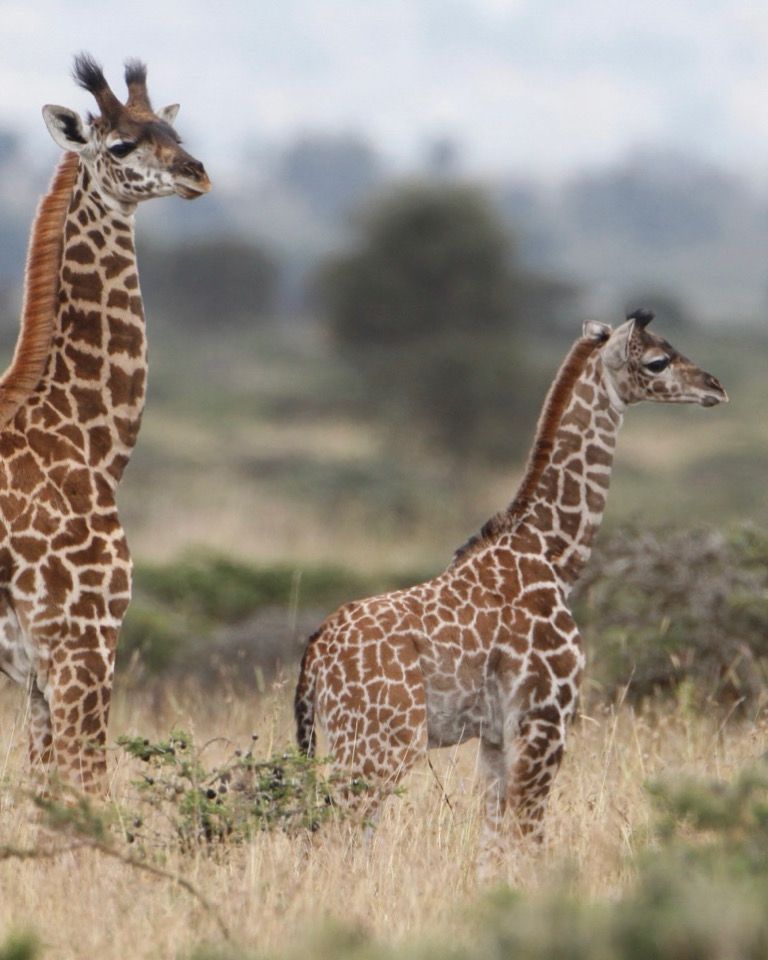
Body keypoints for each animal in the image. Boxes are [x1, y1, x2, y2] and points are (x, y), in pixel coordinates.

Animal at [0, 54, 210, 790]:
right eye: (120, 146)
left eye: (173, 134)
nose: (197, 173)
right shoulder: (83, 641)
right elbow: (86, 787)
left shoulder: (39, 669)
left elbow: (43, 791)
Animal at [295, 309, 727, 865]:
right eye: (657, 360)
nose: (714, 386)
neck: (553, 554)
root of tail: (315, 655)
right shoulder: (545, 719)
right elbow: (529, 836)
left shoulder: (496, 737)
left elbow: (493, 844)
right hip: (380, 743)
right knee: (333, 836)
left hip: (351, 743)